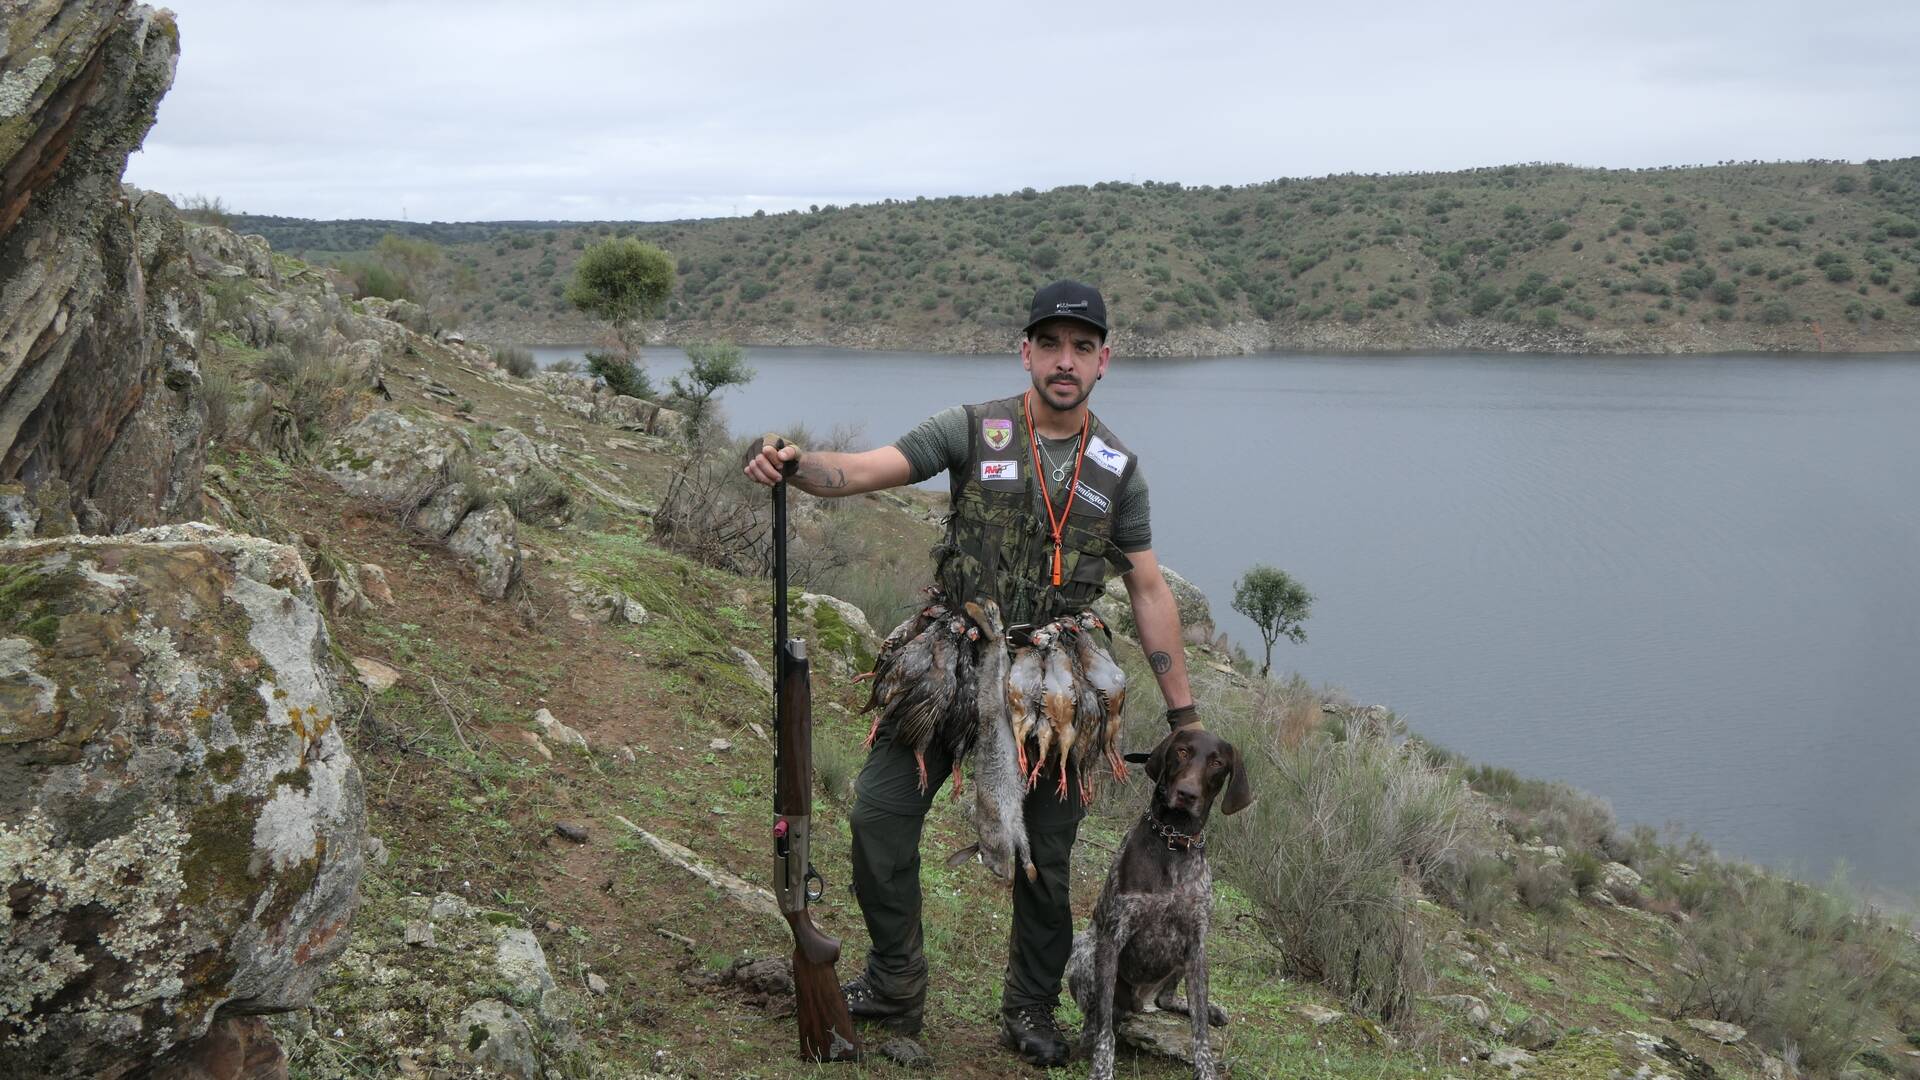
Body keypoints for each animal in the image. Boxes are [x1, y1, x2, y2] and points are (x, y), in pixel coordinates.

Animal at [1059, 718, 1251, 1076]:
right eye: (1182, 751)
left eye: (1217, 763)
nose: (1187, 794)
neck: (1174, 841)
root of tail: (1139, 1003)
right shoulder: (1113, 937)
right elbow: (1105, 1029)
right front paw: (1101, 1068)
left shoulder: (1196, 943)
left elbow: (1200, 1032)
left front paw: (1206, 1068)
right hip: (1086, 948)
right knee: (1099, 1015)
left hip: (1185, 960)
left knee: (1167, 1000)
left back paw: (1206, 1008)